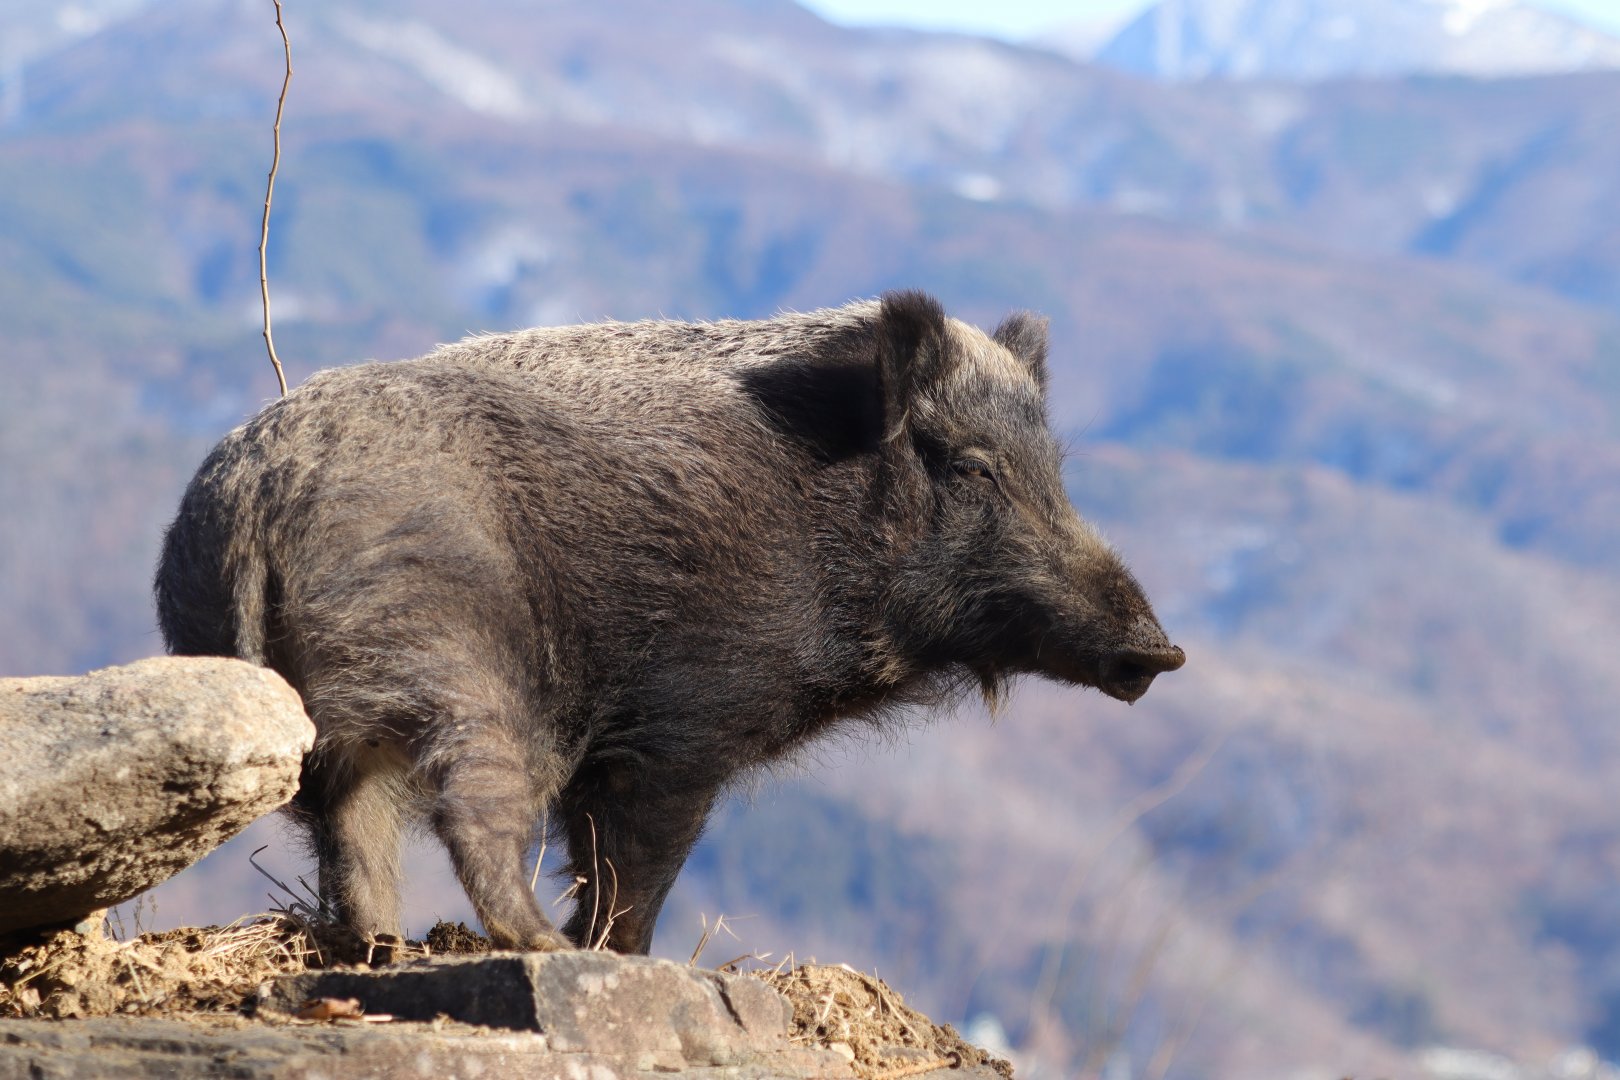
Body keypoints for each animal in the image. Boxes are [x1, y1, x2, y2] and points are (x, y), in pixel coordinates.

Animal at [154, 291, 1184, 955]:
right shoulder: (677, 727)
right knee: (468, 812)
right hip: (461, 668)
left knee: (348, 825)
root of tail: (255, 496)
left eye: (1055, 468)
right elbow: (632, 866)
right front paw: (616, 957)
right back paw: (536, 947)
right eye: (971, 468)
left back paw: (381, 946)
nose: (1163, 650)